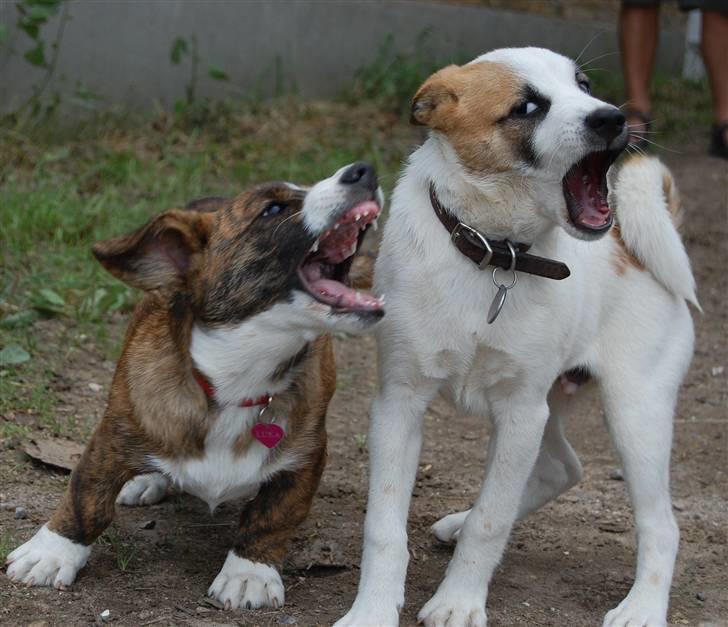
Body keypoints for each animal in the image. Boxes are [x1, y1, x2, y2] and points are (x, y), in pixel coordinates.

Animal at [5, 164, 386, 612]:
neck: (237, 382)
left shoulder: (307, 457)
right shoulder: (111, 435)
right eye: (273, 209)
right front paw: (53, 551)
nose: (363, 170)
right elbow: (87, 497)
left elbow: (273, 516)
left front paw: (248, 572)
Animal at [336, 49, 700, 627]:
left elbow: (493, 520)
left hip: (634, 414)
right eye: (527, 107)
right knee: (562, 468)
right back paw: (458, 522)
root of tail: (633, 247)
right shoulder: (399, 403)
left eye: (584, 85)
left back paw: (641, 608)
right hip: (559, 405)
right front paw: (371, 610)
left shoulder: (520, 412)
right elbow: (385, 527)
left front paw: (459, 602)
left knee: (660, 525)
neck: (492, 253)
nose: (613, 118)